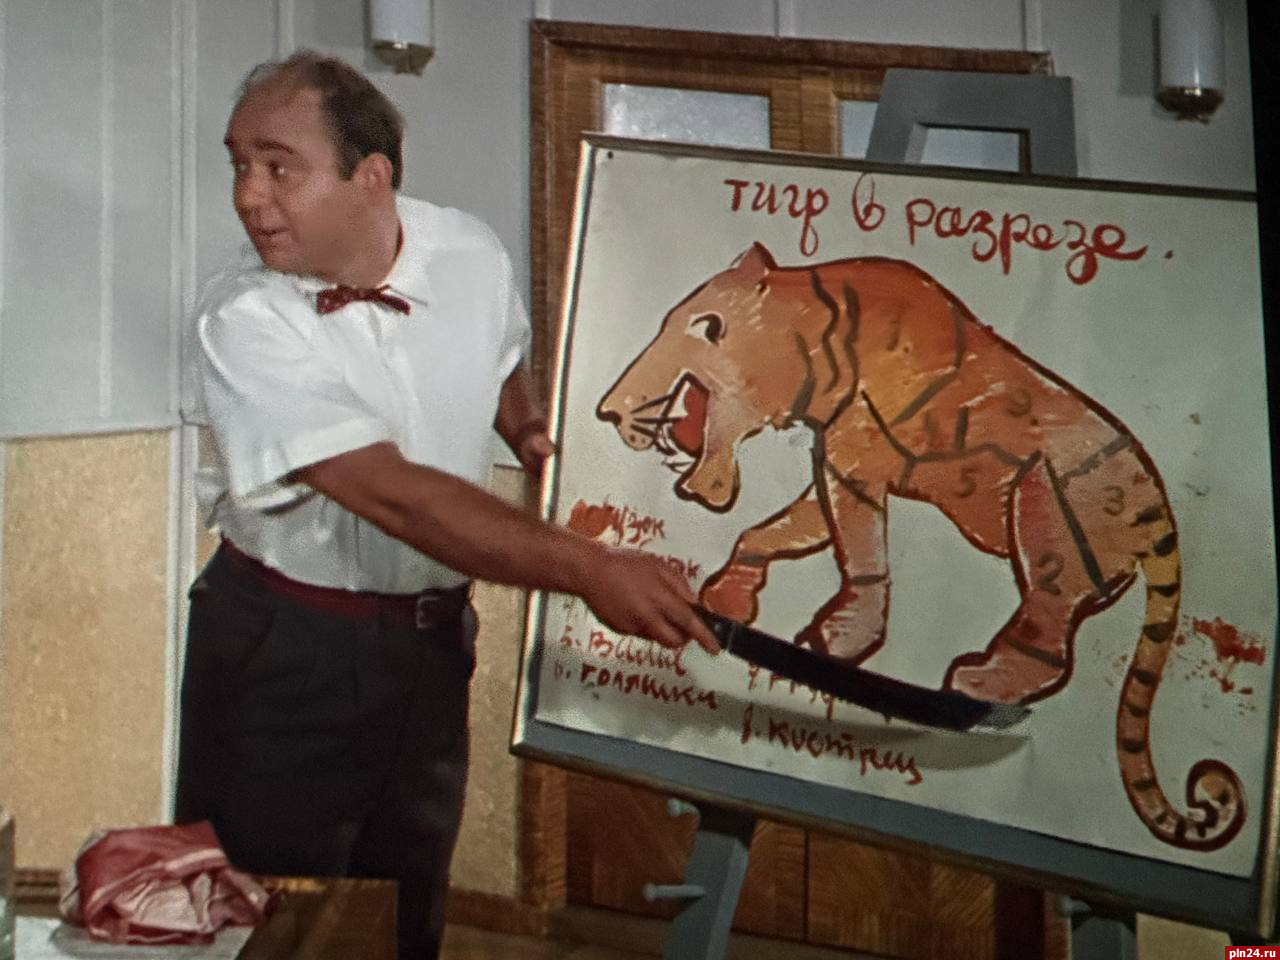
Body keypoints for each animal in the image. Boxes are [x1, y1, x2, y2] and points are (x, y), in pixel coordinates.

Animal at [595, 241, 1244, 852]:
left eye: (707, 327)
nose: (609, 411)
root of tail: (1158, 516)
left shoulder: (855, 457)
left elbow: (857, 548)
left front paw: (838, 641)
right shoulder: (835, 460)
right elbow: (778, 529)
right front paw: (732, 597)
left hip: (1046, 508)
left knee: (1049, 634)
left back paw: (978, 683)